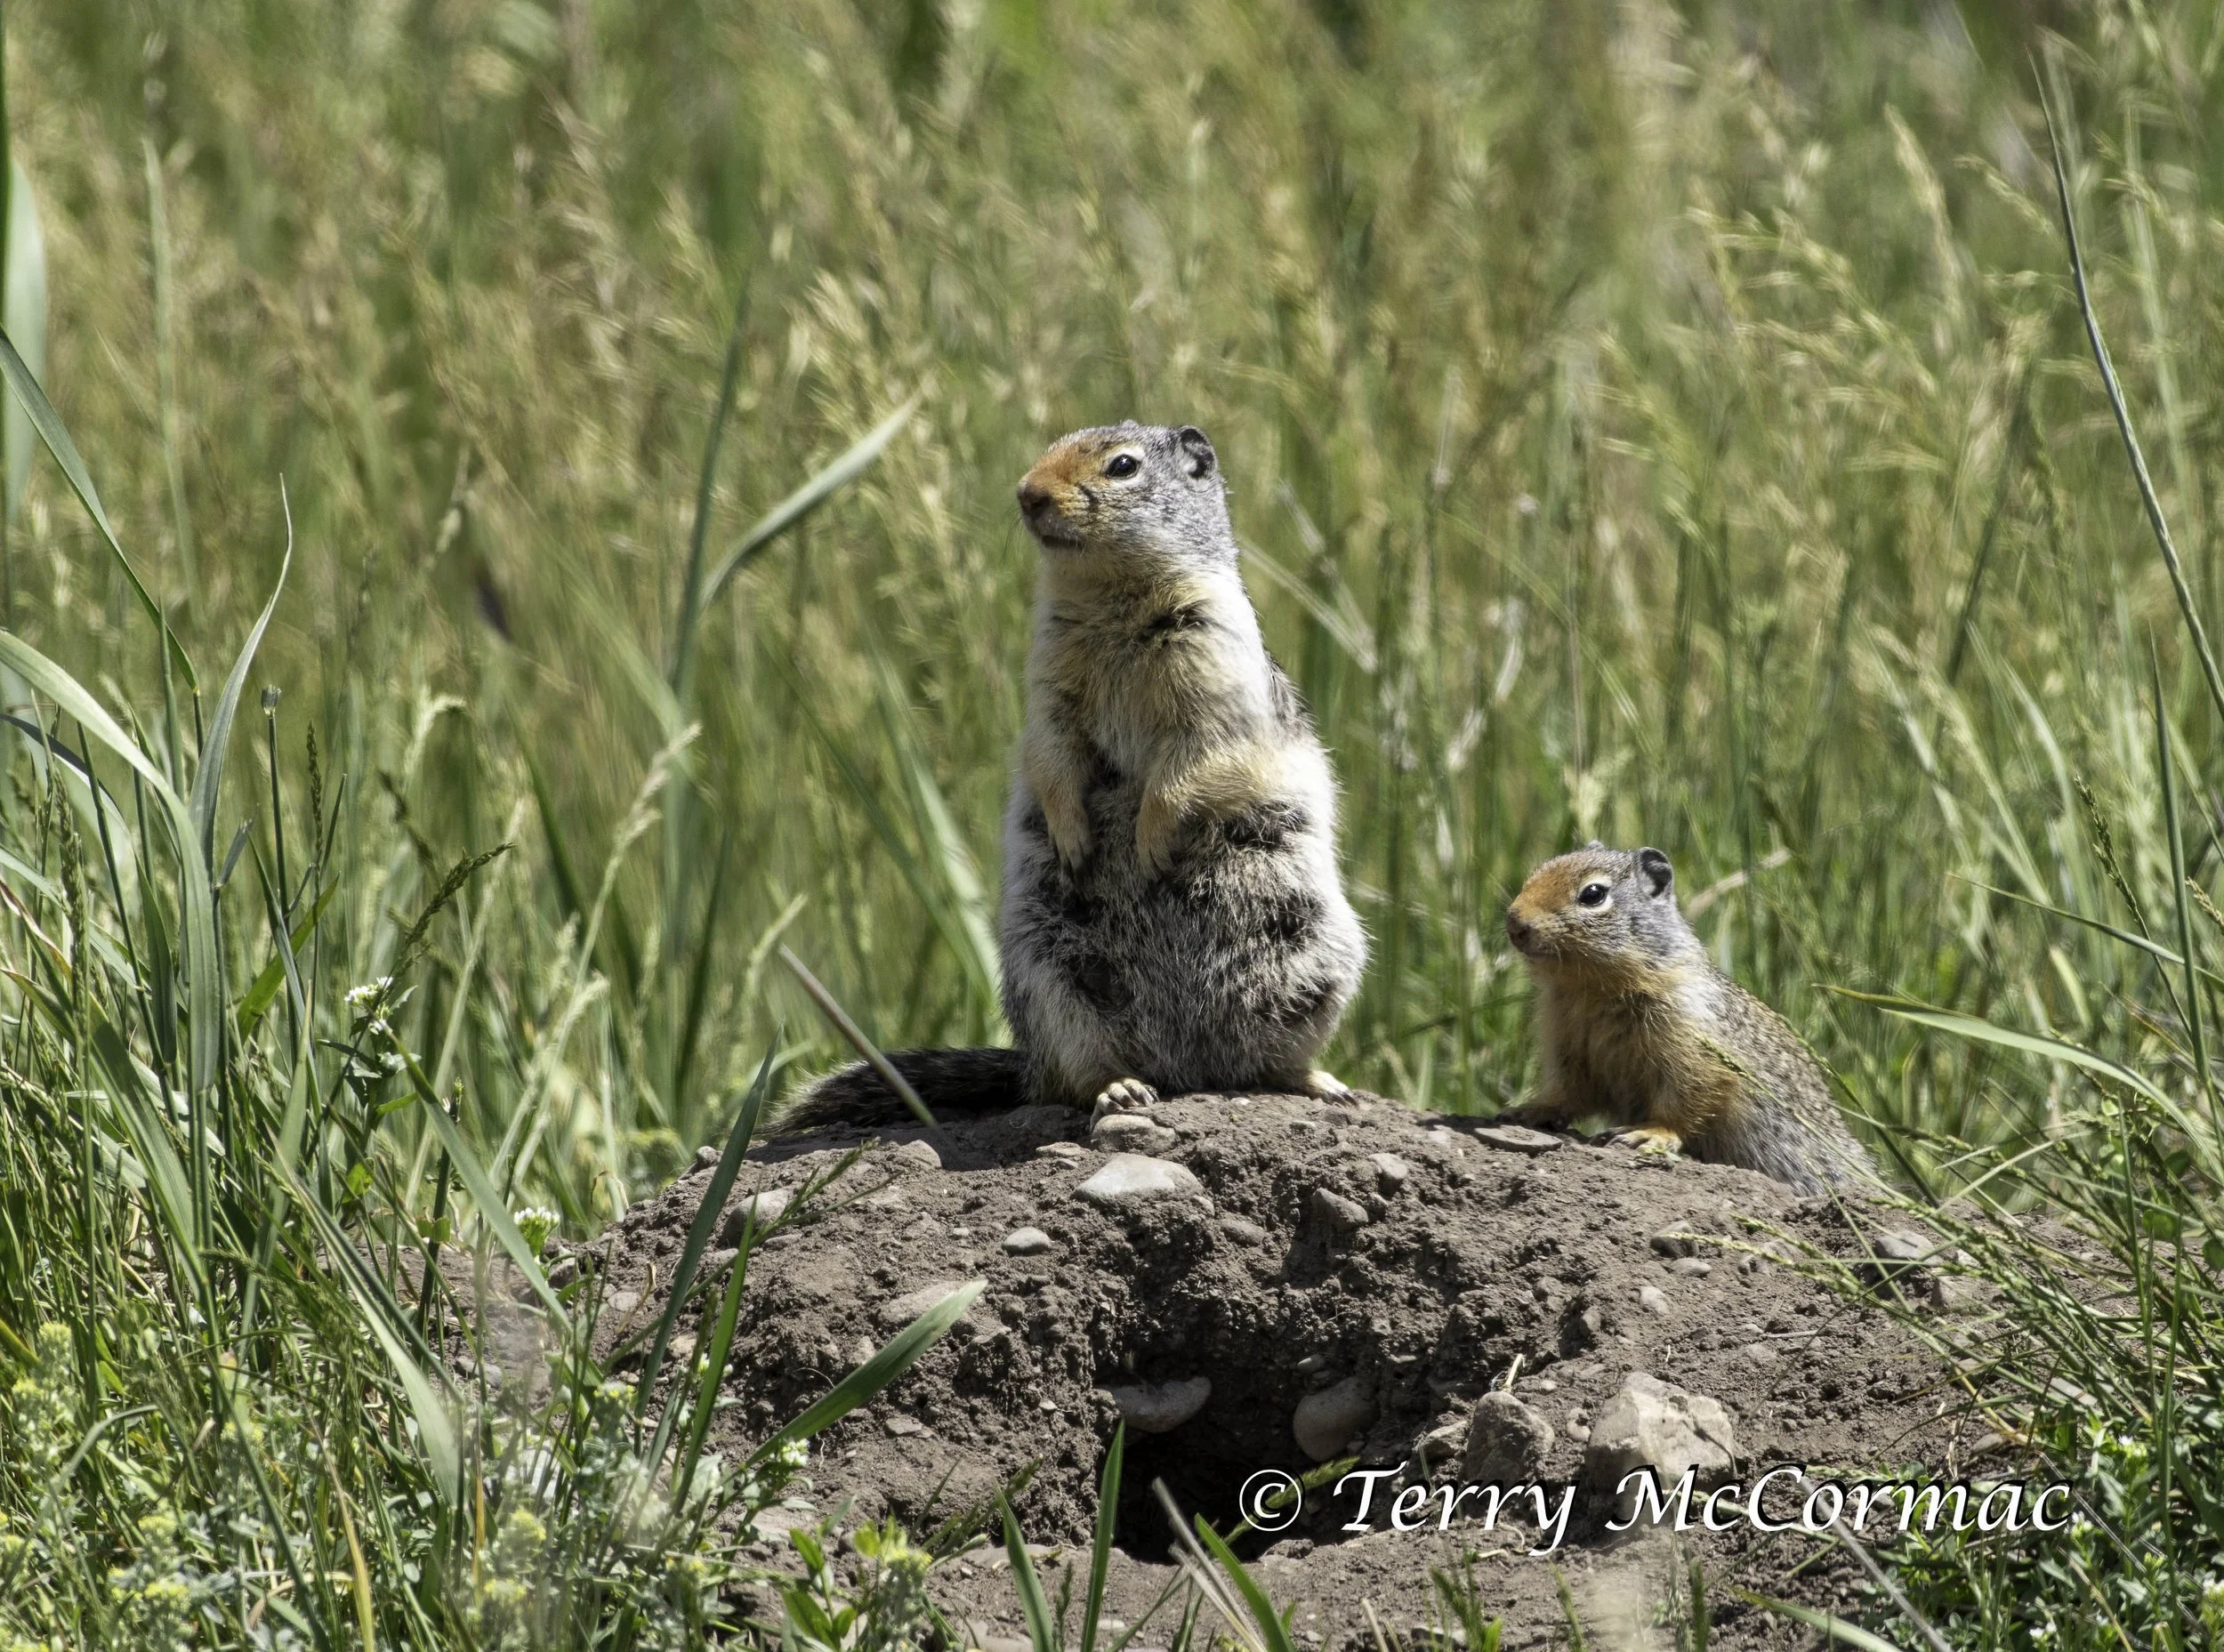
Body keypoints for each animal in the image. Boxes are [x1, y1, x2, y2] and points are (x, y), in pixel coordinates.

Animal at [780, 421, 1368, 1130]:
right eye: (1048, 447)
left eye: (1123, 466)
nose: (1027, 494)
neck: (1111, 600)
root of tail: (1190, 1069)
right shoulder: (1049, 680)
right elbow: (1051, 752)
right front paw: (1073, 836)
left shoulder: (1216, 658)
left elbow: (1197, 756)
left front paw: (1150, 840)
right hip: (1052, 979)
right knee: (1080, 1074)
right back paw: (1121, 1089)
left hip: (1316, 962)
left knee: (1268, 1058)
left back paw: (1318, 1080)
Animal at [1499, 842, 1873, 1195]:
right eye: (1537, 871)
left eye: (1593, 894)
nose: (1514, 923)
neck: (1590, 989)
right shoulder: (1565, 1043)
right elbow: (1567, 1092)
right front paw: (1527, 1110)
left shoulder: (1692, 1045)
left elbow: (1685, 1100)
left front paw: (1649, 1134)